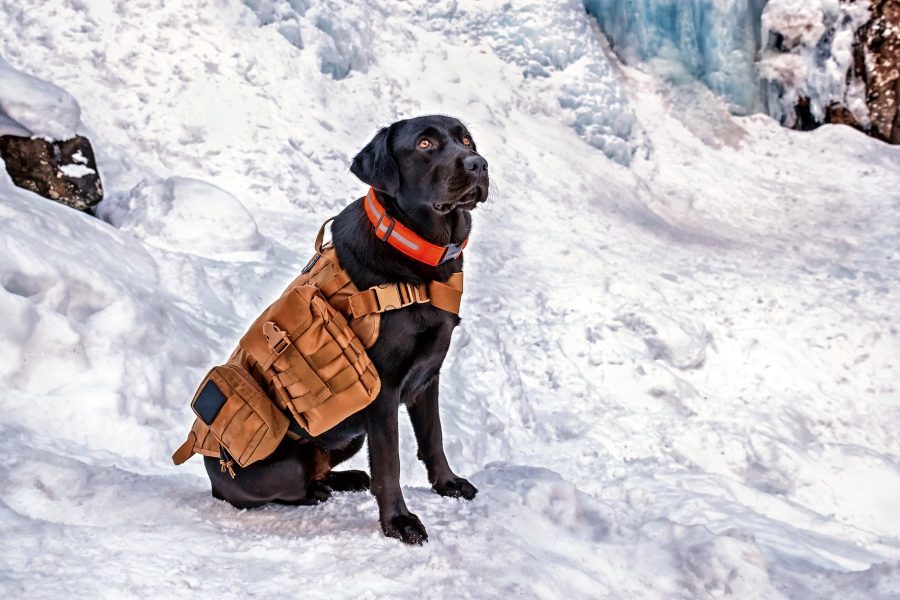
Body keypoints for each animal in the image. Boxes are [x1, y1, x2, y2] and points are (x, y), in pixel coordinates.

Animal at [205, 115, 488, 548]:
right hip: (287, 463)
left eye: (467, 140)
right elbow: (391, 463)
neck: (419, 253)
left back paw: (349, 478)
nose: (478, 164)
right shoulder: (382, 390)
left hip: (349, 435)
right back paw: (320, 491)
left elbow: (433, 437)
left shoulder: (428, 376)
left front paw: (448, 483)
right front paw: (399, 523)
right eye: (425, 144)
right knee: (295, 486)